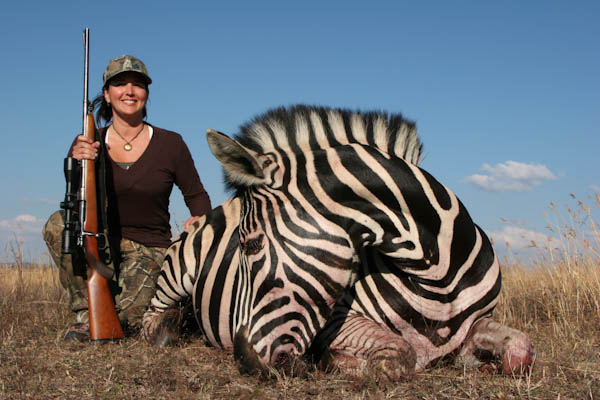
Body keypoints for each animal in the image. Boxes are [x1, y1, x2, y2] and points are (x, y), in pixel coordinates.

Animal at [144, 105, 534, 377]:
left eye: (251, 245)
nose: (245, 363)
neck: (437, 278)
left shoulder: (477, 323)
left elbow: (522, 348)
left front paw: (483, 362)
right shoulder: (338, 322)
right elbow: (399, 356)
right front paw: (333, 361)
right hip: (176, 272)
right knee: (153, 314)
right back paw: (167, 329)